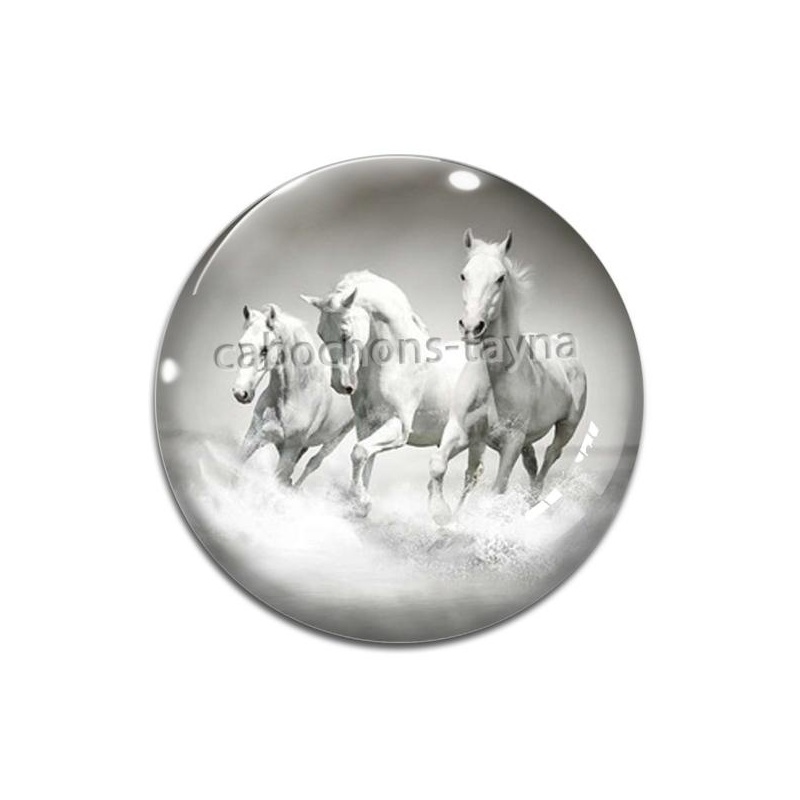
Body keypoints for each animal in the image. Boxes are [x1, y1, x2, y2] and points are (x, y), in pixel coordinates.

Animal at [232, 303, 354, 486]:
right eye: (241, 344)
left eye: (264, 350)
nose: (240, 393)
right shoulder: (253, 437)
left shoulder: (290, 450)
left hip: (335, 439)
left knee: (313, 463)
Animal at [301, 271, 494, 517]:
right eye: (321, 333)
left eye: (345, 333)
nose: (340, 385)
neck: (396, 361)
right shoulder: (367, 426)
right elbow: (365, 460)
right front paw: (360, 504)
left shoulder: (399, 427)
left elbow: (359, 453)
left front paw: (362, 501)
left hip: (478, 438)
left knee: (472, 475)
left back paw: (453, 518)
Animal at [427, 229, 587, 522]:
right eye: (463, 275)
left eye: (500, 278)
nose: (471, 327)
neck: (495, 377)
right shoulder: (462, 430)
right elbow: (440, 465)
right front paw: (442, 514)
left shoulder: (511, 440)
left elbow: (497, 489)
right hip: (518, 441)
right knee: (528, 463)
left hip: (566, 427)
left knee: (550, 457)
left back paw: (532, 505)